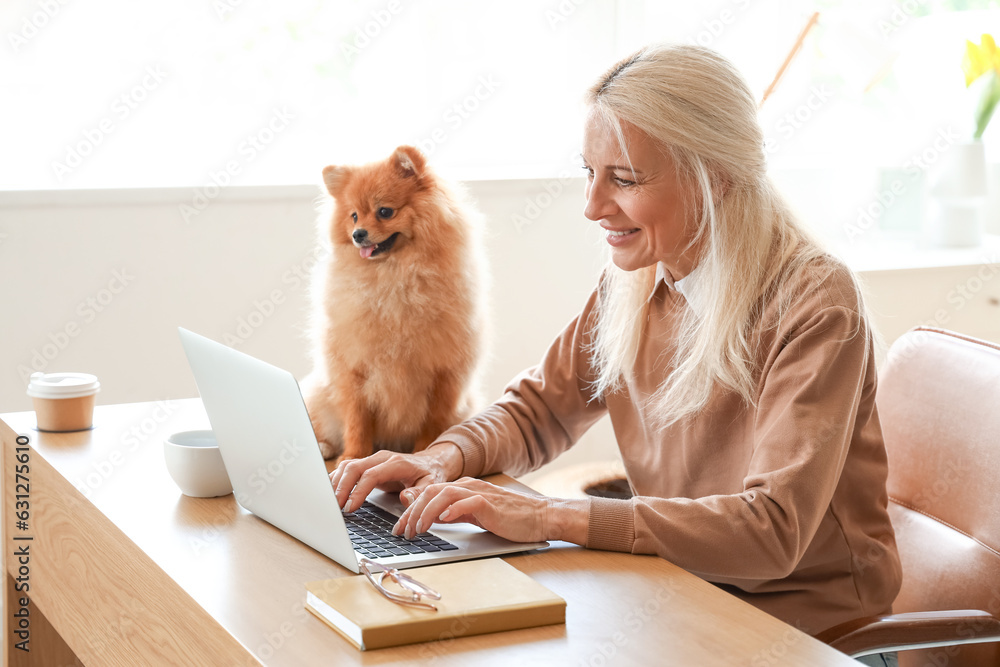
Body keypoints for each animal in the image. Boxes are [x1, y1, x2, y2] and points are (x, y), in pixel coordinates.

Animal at [302, 146, 490, 462]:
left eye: (385, 211)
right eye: (354, 216)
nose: (358, 234)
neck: (394, 278)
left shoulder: (443, 373)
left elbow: (432, 422)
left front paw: (422, 453)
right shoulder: (353, 369)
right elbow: (356, 420)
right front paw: (352, 457)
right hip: (321, 395)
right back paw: (323, 447)